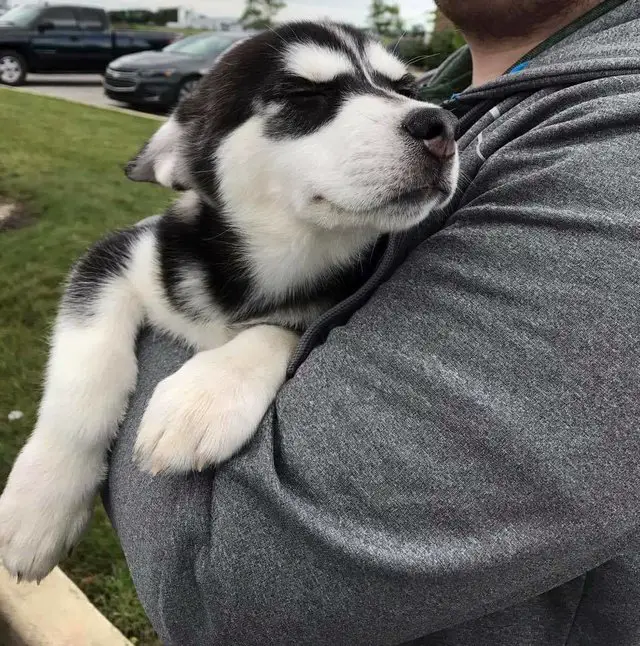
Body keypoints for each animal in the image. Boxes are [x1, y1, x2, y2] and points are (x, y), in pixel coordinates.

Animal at [0, 22, 460, 584]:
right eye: (302, 94)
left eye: (406, 89)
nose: (442, 125)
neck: (276, 262)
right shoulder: (121, 256)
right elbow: (89, 378)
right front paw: (41, 502)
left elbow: (276, 330)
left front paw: (205, 395)